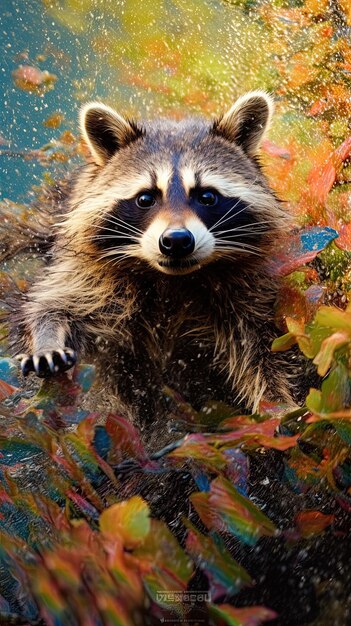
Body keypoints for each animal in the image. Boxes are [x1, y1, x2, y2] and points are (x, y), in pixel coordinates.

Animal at [14, 91, 300, 434]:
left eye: (207, 196)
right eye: (146, 198)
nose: (176, 240)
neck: (171, 280)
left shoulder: (245, 288)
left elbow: (260, 349)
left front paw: (278, 403)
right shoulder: (85, 271)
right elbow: (53, 305)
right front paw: (47, 340)